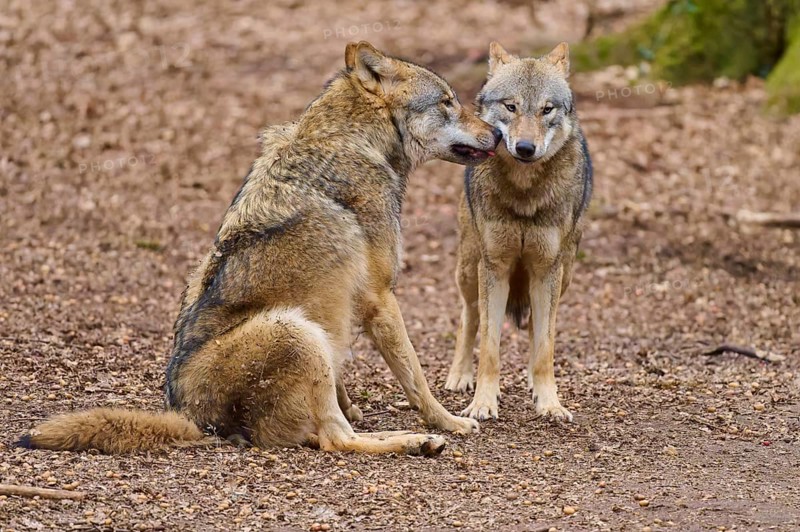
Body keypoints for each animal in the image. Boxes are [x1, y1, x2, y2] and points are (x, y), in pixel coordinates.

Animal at [18, 41, 501, 456]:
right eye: (447, 102)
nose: (497, 134)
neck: (355, 143)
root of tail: (194, 418)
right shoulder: (380, 297)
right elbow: (416, 378)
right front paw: (450, 422)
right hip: (297, 330)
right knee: (337, 440)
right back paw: (417, 441)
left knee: (326, 431)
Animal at [444, 42, 592, 422]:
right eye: (511, 106)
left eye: (546, 109)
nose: (526, 148)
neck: (525, 194)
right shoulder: (494, 267)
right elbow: (489, 346)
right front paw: (482, 403)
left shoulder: (546, 270)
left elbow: (545, 347)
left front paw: (550, 403)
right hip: (470, 269)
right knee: (468, 318)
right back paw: (459, 376)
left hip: (564, 273)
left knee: (535, 329)